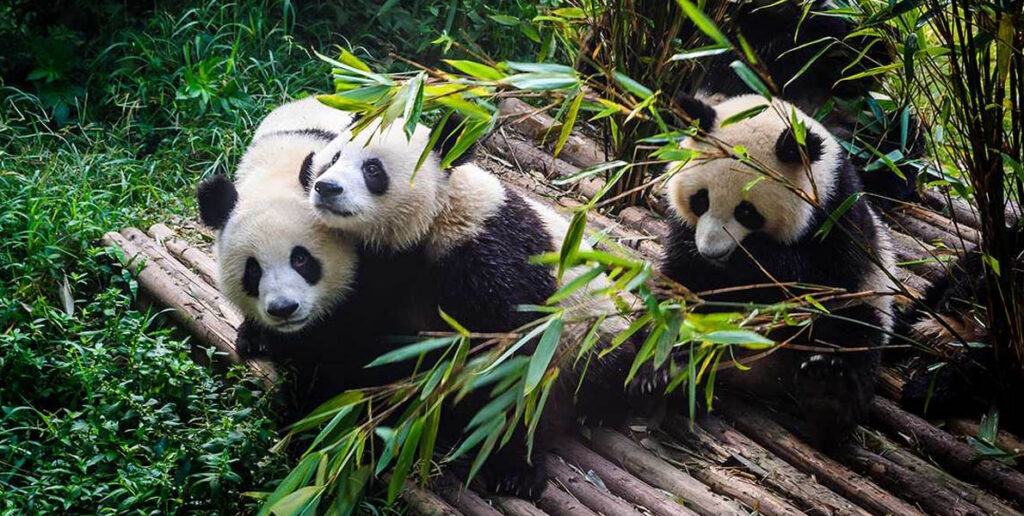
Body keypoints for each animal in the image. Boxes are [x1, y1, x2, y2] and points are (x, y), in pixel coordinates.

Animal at [300, 112, 634, 496]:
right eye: (334, 158)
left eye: (373, 169)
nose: (326, 188)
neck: (436, 219)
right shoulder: (381, 271)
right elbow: (360, 339)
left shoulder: (492, 257)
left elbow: (514, 362)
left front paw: (513, 469)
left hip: (596, 334)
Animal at [652, 93, 898, 448]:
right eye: (701, 200)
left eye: (746, 212)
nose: (713, 251)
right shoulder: (684, 237)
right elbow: (683, 279)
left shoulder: (840, 221)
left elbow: (814, 281)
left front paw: (754, 259)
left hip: (866, 304)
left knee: (854, 332)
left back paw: (827, 394)